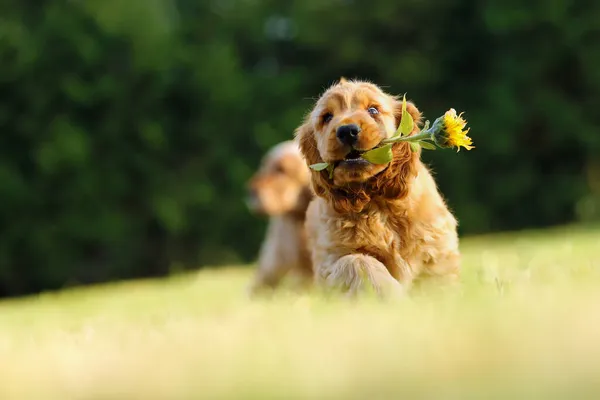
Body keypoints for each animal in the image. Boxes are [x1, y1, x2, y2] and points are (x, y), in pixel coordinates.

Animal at [296, 78, 460, 296]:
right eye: (327, 117)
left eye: (373, 110)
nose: (347, 131)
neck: (375, 201)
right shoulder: (331, 258)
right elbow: (358, 262)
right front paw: (388, 293)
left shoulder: (436, 249)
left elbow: (440, 282)